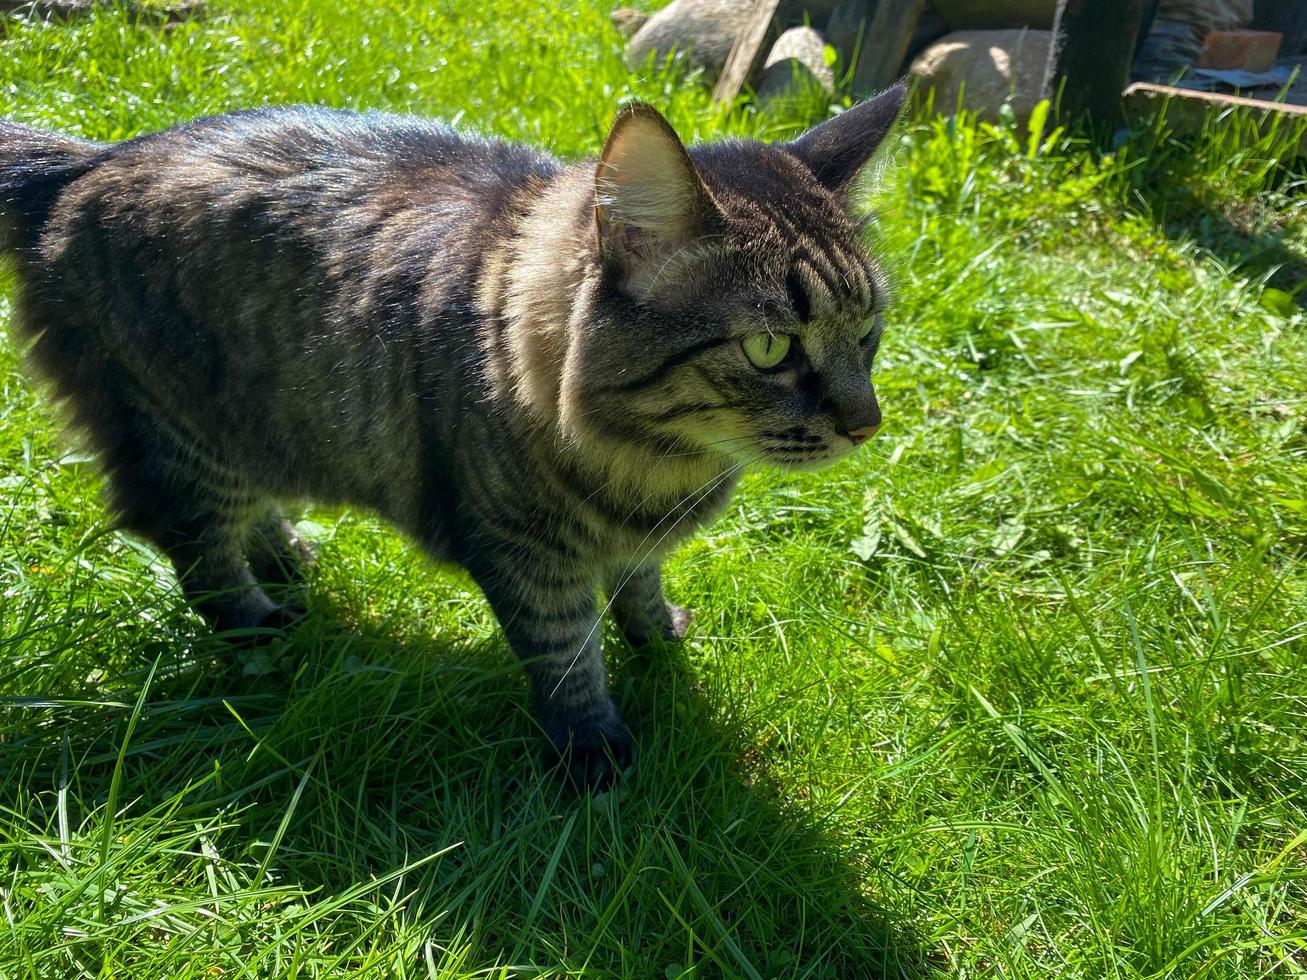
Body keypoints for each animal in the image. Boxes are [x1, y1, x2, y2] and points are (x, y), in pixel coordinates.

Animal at [0, 86, 899, 789]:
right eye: (770, 349)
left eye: (867, 334)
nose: (867, 424)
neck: (654, 459)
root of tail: (83, 166)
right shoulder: (522, 551)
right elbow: (566, 653)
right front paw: (593, 752)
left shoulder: (634, 535)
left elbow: (638, 582)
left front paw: (655, 636)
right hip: (183, 440)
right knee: (197, 555)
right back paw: (270, 629)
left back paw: (289, 555)